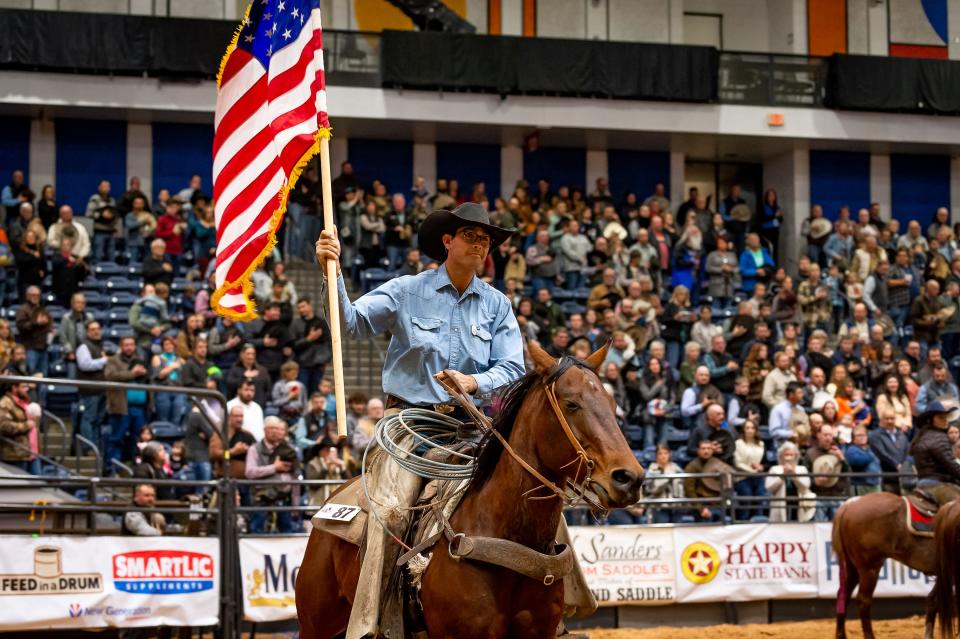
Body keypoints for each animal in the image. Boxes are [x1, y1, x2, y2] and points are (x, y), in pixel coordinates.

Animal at [832, 492, 936, 636]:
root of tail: (850, 504)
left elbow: (933, 600)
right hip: (870, 569)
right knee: (863, 601)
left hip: (852, 568)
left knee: (843, 596)